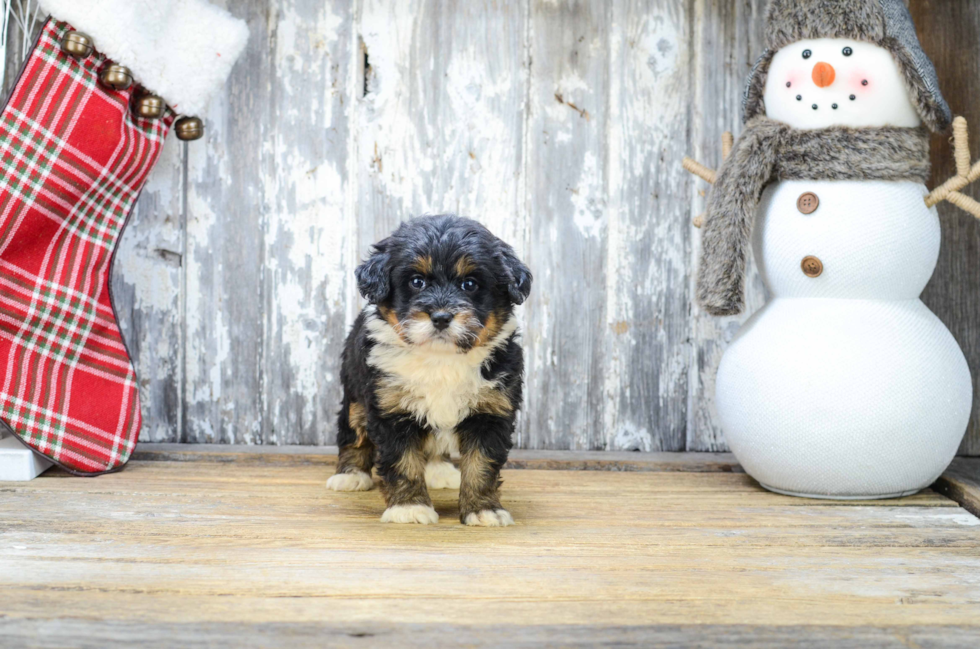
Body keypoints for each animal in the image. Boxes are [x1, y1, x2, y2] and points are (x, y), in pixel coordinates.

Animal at [326, 215, 532, 524]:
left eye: (469, 284)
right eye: (417, 282)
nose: (441, 317)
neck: (440, 358)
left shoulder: (491, 411)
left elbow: (482, 464)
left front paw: (484, 509)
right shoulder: (390, 408)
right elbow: (403, 461)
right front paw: (409, 508)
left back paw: (440, 471)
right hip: (354, 392)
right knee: (353, 432)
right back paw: (350, 475)